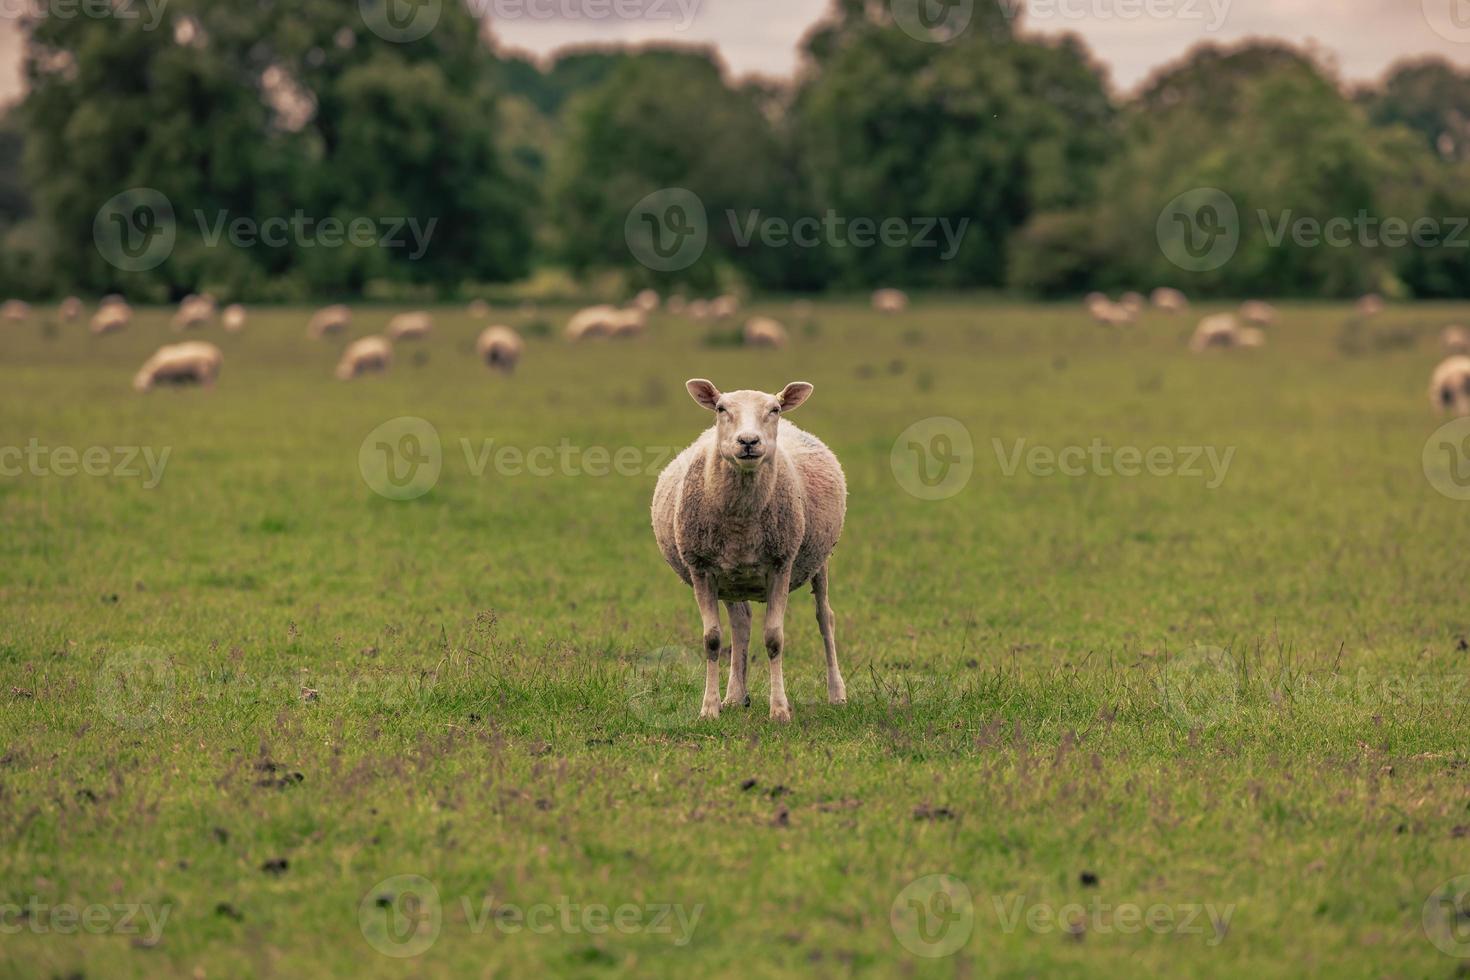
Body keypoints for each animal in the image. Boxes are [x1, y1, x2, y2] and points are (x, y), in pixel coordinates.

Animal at [649, 379, 846, 725]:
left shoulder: (781, 563)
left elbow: (774, 639)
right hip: (732, 577)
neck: (741, 520)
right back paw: (734, 696)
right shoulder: (702, 568)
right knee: (741, 624)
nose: (749, 441)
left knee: (825, 618)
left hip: (818, 558)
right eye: (721, 408)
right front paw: (709, 708)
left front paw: (779, 710)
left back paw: (837, 693)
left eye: (775, 409)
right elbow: (712, 639)